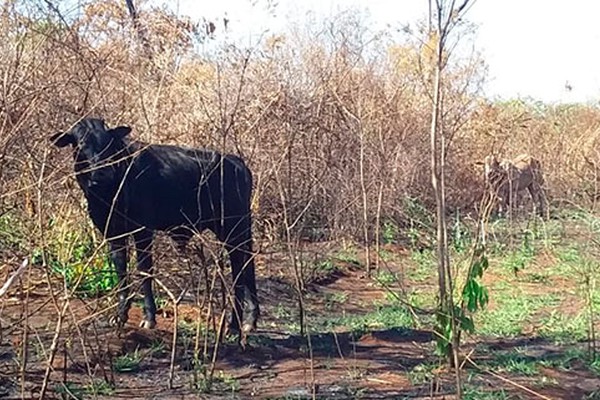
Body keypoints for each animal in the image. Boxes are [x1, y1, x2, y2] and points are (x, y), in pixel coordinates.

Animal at [48, 118, 258, 334]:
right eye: (81, 144)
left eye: (108, 142)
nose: (102, 173)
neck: (108, 193)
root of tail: (237, 163)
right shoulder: (113, 233)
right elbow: (121, 271)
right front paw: (120, 315)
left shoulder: (143, 231)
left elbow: (144, 270)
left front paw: (149, 317)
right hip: (239, 231)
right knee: (248, 264)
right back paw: (250, 320)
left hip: (232, 230)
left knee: (239, 271)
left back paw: (234, 326)